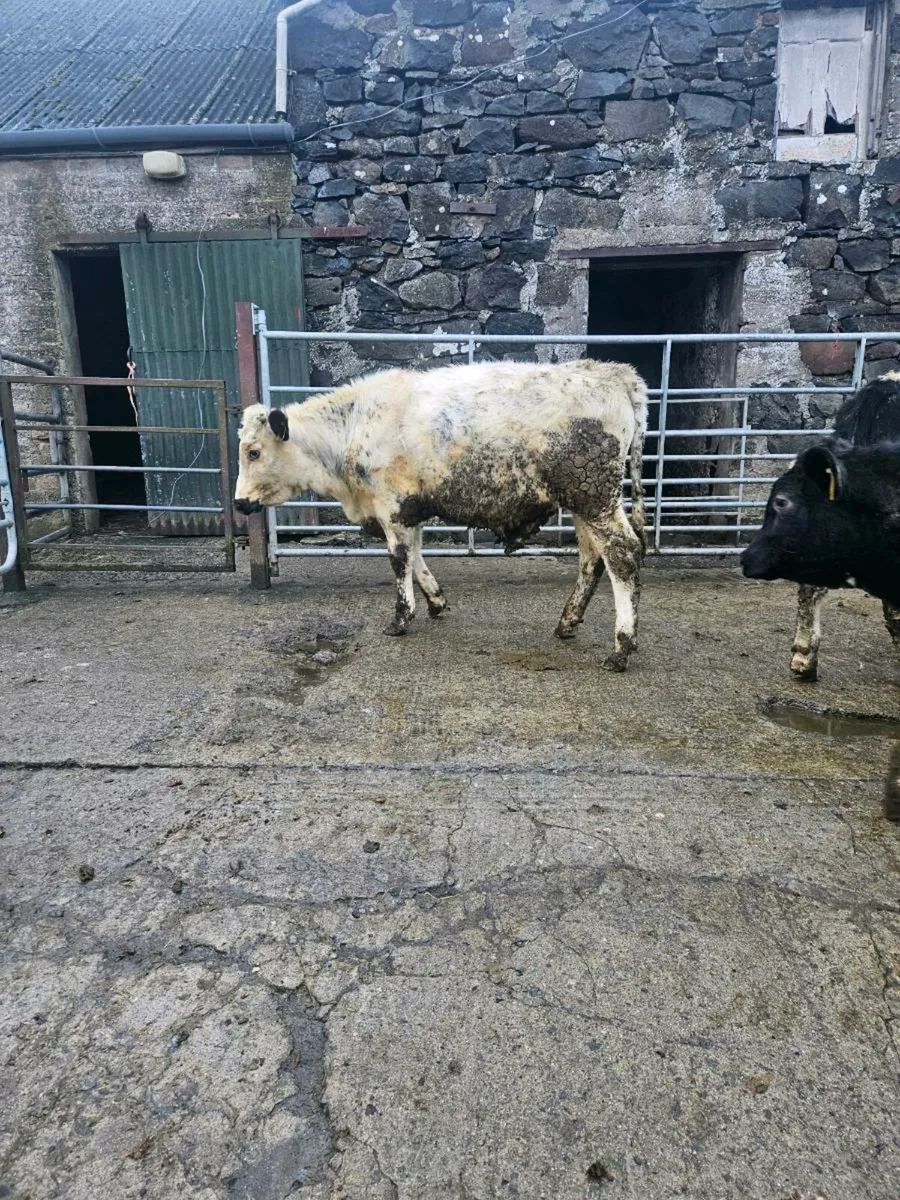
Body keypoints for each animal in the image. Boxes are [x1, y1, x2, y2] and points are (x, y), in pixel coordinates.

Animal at [235, 358, 648, 672]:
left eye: (254, 452)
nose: (239, 502)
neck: (353, 426)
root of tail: (613, 372)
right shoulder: (409, 508)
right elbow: (416, 554)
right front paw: (435, 601)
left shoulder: (391, 506)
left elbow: (399, 559)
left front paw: (401, 617)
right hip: (584, 501)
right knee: (592, 558)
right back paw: (567, 622)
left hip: (595, 497)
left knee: (622, 553)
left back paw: (621, 647)